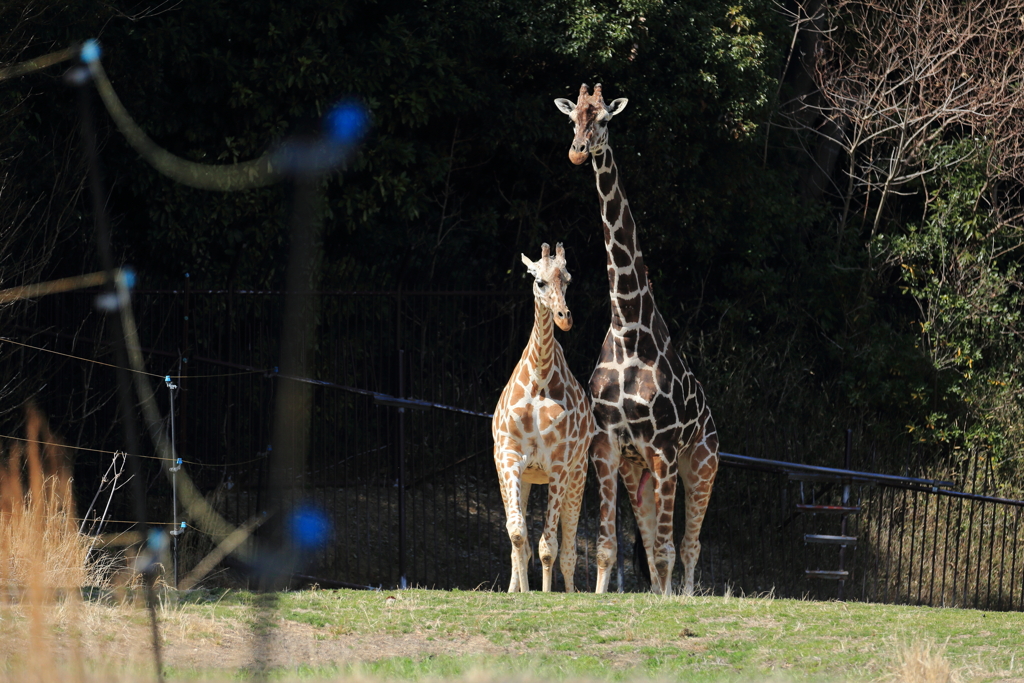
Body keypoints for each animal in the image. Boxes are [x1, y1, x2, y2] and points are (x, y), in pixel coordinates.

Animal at [491, 242, 598, 589]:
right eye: (539, 281)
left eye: (568, 281)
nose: (564, 319)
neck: (539, 378)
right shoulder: (509, 458)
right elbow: (518, 535)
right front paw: (522, 592)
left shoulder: (560, 466)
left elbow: (548, 547)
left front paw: (546, 593)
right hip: (525, 478)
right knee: (522, 544)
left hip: (578, 475)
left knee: (569, 551)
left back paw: (568, 591)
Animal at [552, 82, 720, 593]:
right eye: (573, 119)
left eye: (604, 119)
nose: (577, 151)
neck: (629, 330)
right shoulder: (609, 447)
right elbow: (610, 546)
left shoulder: (664, 450)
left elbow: (666, 551)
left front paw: (668, 603)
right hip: (639, 470)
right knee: (651, 542)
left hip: (700, 464)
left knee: (687, 545)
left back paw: (682, 596)